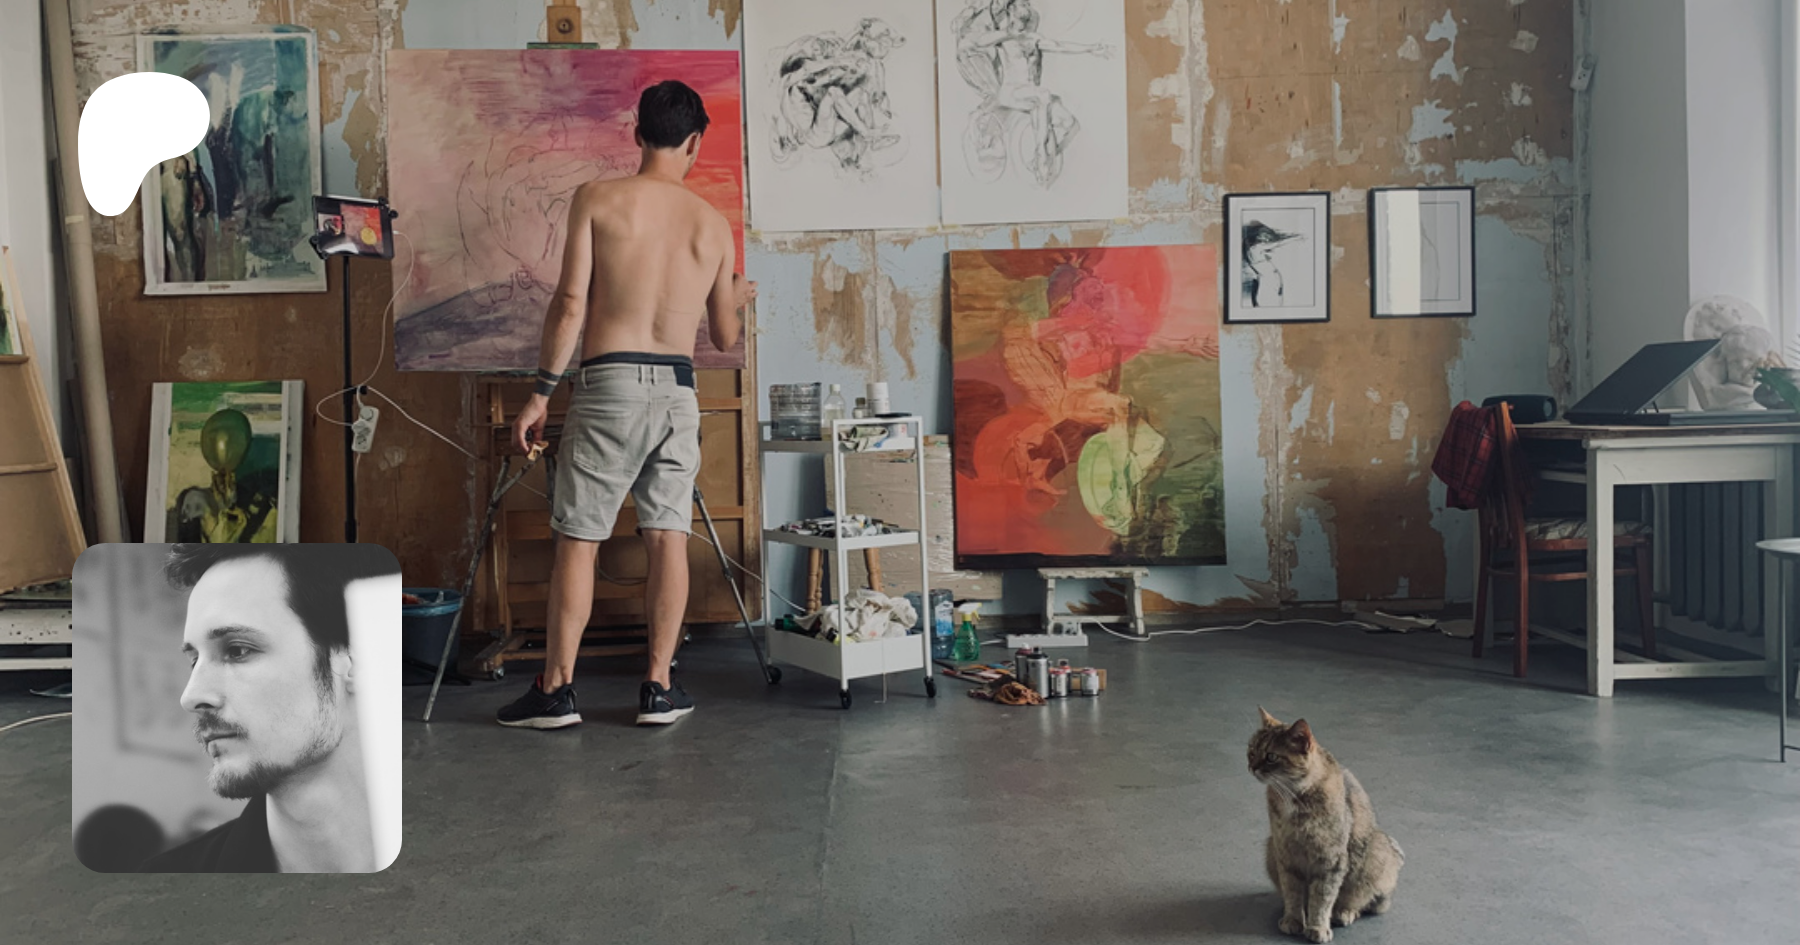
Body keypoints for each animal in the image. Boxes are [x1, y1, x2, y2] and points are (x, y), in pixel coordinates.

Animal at [1247, 708, 1404, 944]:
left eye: (1271, 756)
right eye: (1251, 751)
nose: (1252, 767)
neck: (1295, 796)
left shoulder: (1330, 861)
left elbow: (1322, 899)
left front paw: (1318, 927)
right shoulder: (1286, 855)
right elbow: (1293, 893)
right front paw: (1293, 920)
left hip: (1376, 852)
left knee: (1361, 902)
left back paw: (1344, 912)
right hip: (1270, 848)